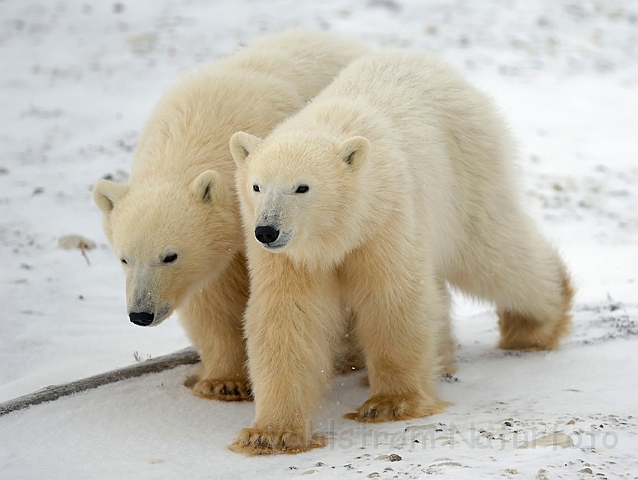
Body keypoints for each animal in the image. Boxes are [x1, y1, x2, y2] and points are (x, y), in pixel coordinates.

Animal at [90, 30, 370, 402]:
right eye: (124, 259)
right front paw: (222, 381)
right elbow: (210, 302)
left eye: (169, 256)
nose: (141, 314)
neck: (196, 127)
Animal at [230, 48, 576, 454]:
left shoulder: (384, 218)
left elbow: (392, 297)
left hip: (466, 170)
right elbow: (286, 316)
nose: (267, 231)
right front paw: (270, 434)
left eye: (302, 187)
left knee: (489, 254)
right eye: (256, 186)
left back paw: (534, 324)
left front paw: (390, 403)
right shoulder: (290, 258)